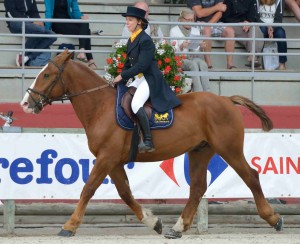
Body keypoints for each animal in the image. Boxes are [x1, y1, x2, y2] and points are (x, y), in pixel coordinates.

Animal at [20, 50, 282, 238]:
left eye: (46, 75)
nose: (25, 103)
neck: (100, 107)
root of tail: (226, 100)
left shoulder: (106, 158)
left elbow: (88, 189)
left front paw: (69, 225)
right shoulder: (113, 161)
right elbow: (125, 193)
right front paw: (153, 222)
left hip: (229, 149)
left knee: (251, 176)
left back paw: (273, 218)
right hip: (200, 151)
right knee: (198, 188)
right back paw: (178, 228)